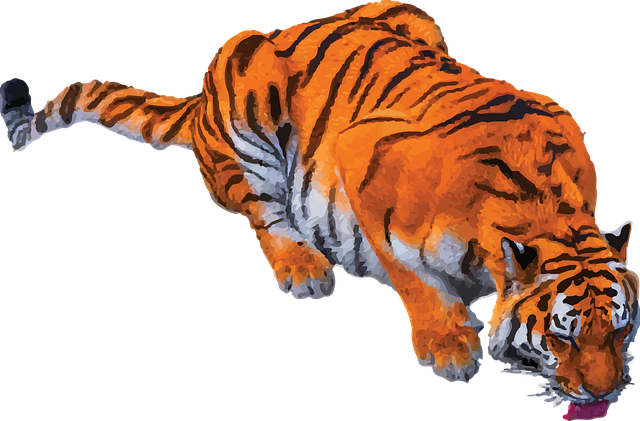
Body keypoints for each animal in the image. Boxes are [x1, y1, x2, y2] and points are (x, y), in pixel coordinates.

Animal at [1, 0, 637, 417]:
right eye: (561, 338)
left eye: (620, 330)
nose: (604, 393)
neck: (547, 213)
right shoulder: (364, 165)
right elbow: (411, 276)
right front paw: (448, 343)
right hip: (246, 81)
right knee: (262, 212)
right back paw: (303, 267)